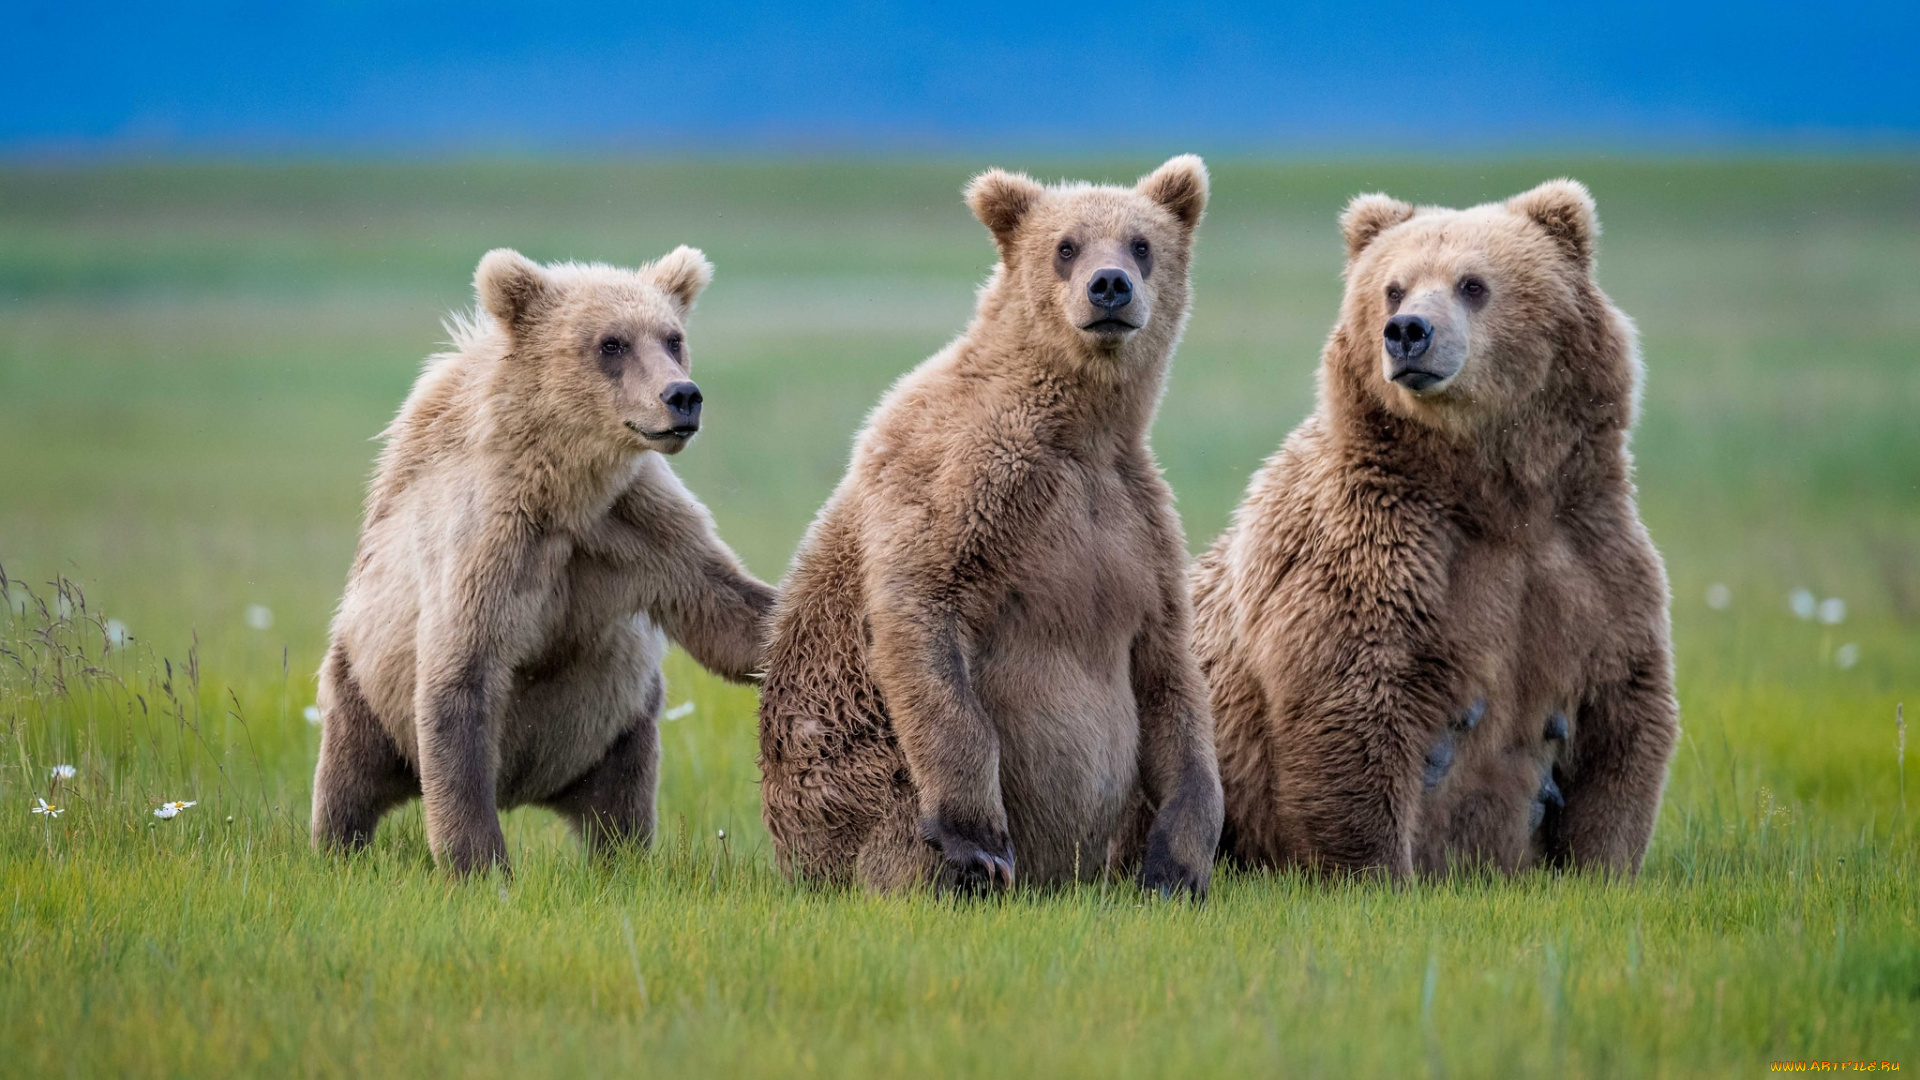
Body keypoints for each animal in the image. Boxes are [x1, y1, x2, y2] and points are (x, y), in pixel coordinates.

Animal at [311, 245, 775, 876]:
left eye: (673, 337)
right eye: (612, 343)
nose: (682, 396)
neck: (566, 494)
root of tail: (530, 791)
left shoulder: (642, 530)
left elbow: (729, 615)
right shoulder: (490, 544)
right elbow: (461, 679)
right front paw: (480, 865)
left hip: (616, 727)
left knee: (622, 799)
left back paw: (622, 860)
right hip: (365, 682)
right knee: (349, 777)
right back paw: (339, 847)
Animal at [756, 155, 1221, 895]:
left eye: (1142, 244)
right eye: (1066, 246)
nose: (1109, 286)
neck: (1080, 430)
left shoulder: (1138, 523)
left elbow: (1168, 672)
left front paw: (1176, 864)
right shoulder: (967, 478)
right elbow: (924, 610)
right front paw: (977, 841)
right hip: (849, 775)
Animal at [1190, 180, 1674, 880]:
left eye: (1473, 284)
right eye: (1394, 287)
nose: (1407, 332)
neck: (1491, 496)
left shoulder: (1591, 562)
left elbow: (1621, 717)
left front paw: (1601, 870)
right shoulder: (1374, 554)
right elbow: (1353, 707)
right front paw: (1374, 873)